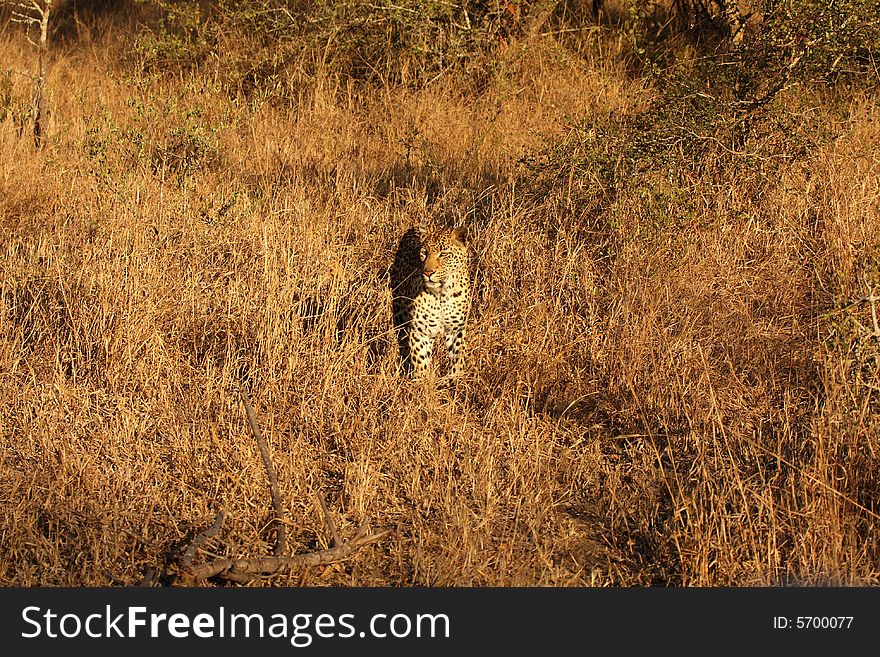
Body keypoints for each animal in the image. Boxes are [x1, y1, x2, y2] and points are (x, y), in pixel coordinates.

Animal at [390, 226, 470, 376]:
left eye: (443, 254)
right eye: (424, 253)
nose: (427, 273)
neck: (442, 294)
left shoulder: (456, 329)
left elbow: (458, 360)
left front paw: (455, 378)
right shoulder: (419, 331)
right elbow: (420, 361)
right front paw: (423, 380)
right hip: (400, 318)